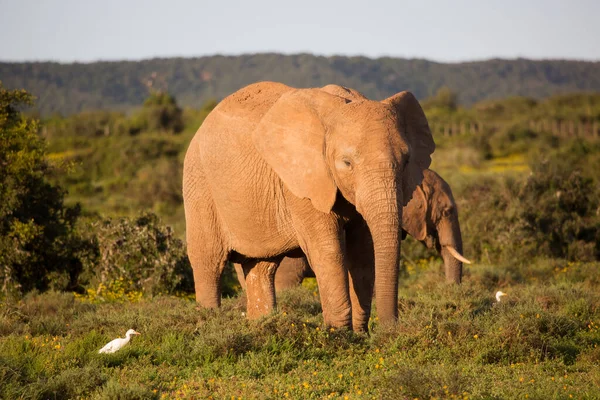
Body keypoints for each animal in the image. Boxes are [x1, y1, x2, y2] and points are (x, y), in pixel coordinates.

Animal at [183, 81, 436, 332]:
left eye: (406, 161)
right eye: (347, 163)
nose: (389, 330)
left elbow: (364, 253)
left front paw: (359, 335)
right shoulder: (300, 182)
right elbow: (329, 251)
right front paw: (339, 334)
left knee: (261, 268)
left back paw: (259, 326)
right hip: (200, 186)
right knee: (209, 263)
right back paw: (208, 325)